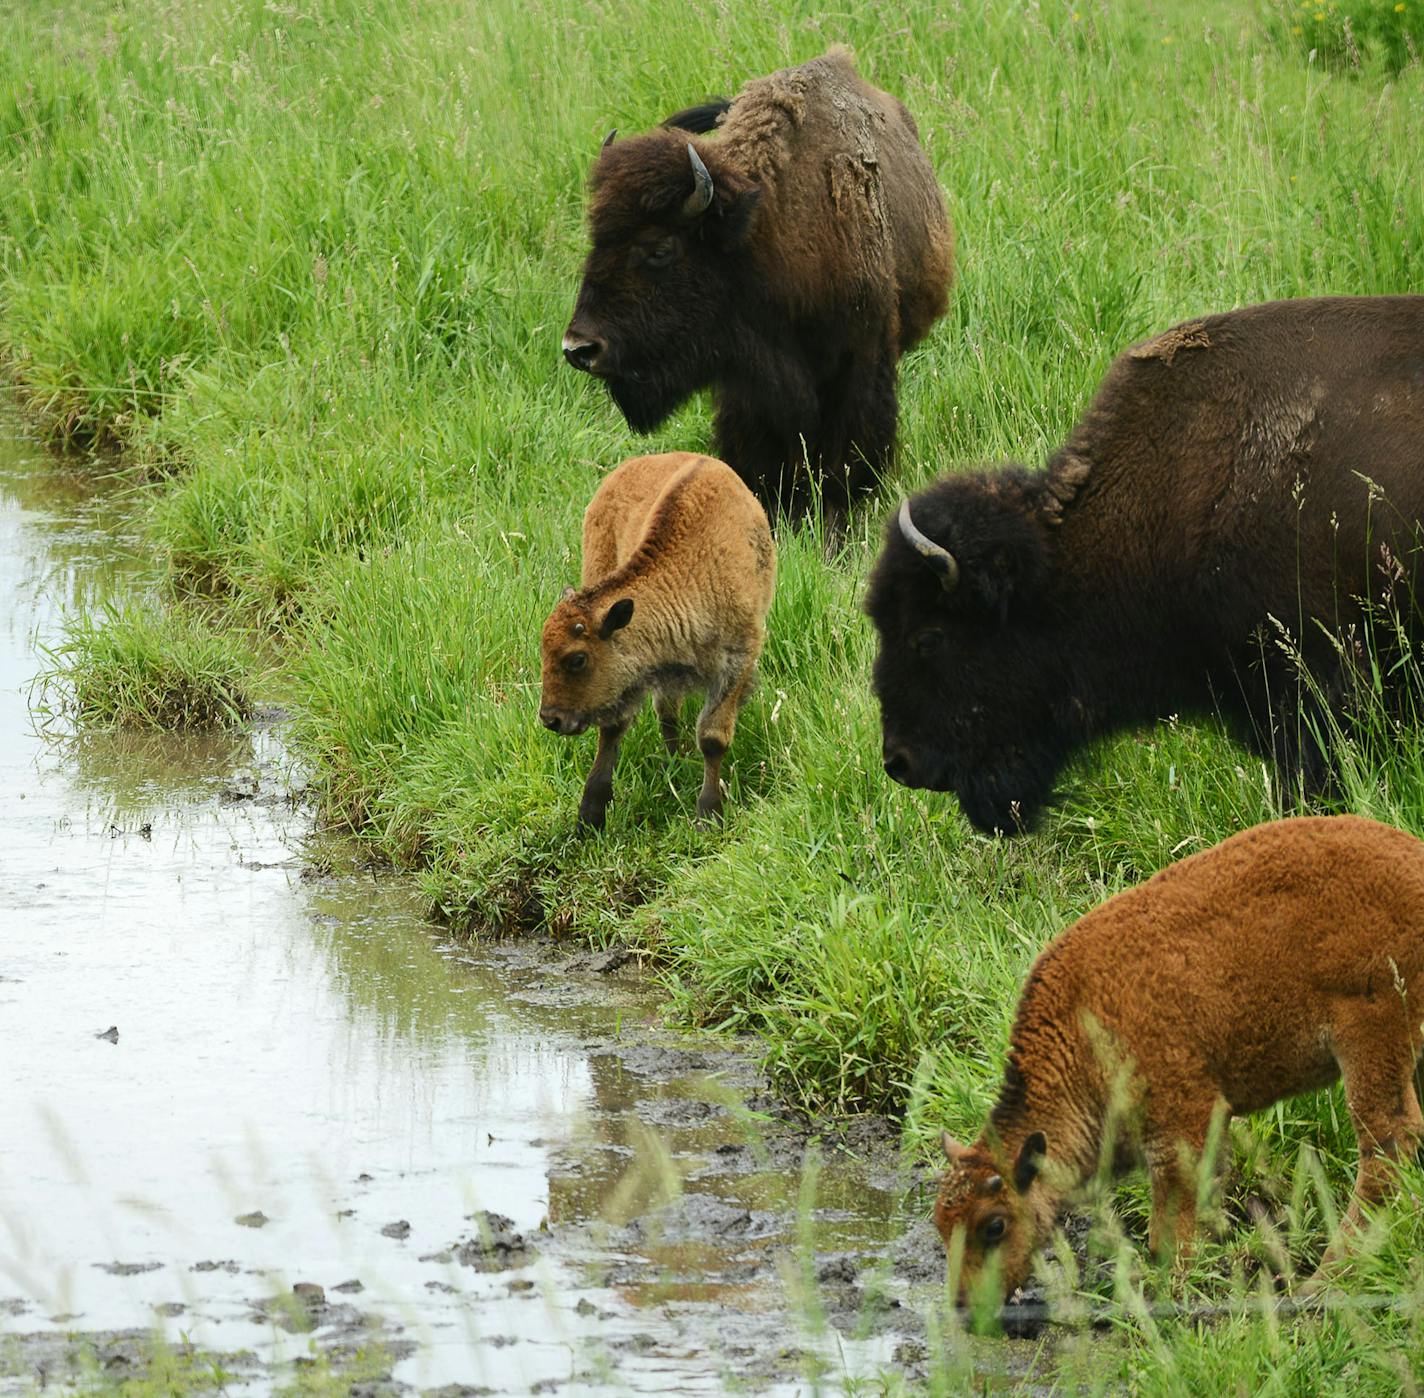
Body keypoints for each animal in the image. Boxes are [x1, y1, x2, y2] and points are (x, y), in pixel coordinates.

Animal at [538, 455, 774, 831]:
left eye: (577, 659)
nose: (551, 719)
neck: (694, 571)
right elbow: (613, 728)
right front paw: (590, 815)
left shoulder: (738, 661)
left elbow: (712, 737)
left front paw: (708, 815)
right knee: (667, 715)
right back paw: (673, 763)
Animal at [561, 49, 951, 523]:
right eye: (596, 239)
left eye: (659, 248)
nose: (579, 348)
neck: (760, 239)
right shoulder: (745, 382)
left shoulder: (858, 361)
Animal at [934, 814, 1424, 1309]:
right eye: (940, 1225)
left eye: (994, 1225)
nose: (962, 1303)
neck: (1081, 1028)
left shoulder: (1183, 1124)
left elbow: (1169, 1227)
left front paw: (1171, 1288)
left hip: (1371, 1041)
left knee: (1387, 1143)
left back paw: (1321, 1281)